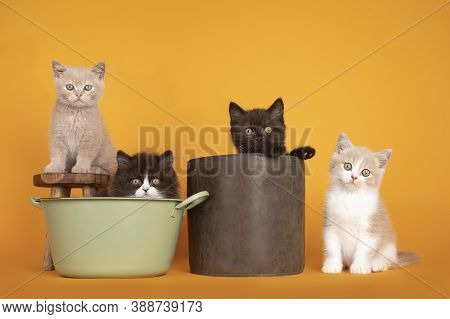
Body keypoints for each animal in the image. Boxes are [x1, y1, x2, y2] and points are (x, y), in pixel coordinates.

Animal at [322, 132, 420, 276]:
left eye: (365, 172)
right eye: (347, 166)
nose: (354, 177)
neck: (350, 196)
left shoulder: (371, 228)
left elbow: (364, 249)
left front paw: (360, 267)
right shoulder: (331, 225)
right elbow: (332, 247)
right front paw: (332, 265)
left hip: (389, 247)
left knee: (388, 260)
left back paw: (378, 264)